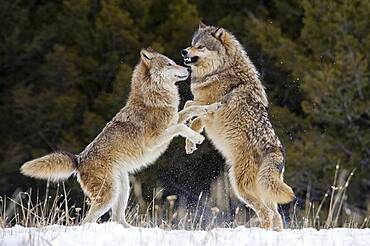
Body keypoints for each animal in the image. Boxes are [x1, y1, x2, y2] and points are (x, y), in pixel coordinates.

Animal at [19, 48, 220, 227]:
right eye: (170, 64)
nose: (189, 69)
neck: (154, 97)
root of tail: (79, 159)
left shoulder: (173, 119)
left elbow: (192, 109)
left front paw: (213, 107)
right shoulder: (157, 138)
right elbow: (182, 125)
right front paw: (197, 138)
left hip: (123, 188)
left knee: (117, 219)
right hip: (109, 194)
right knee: (87, 221)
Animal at [180, 23, 294, 231]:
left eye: (200, 47)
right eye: (192, 44)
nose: (183, 51)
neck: (219, 71)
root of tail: (276, 152)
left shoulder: (208, 107)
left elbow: (189, 106)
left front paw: (189, 135)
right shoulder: (207, 112)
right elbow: (193, 115)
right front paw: (192, 140)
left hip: (240, 187)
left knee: (266, 214)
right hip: (264, 192)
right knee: (276, 215)